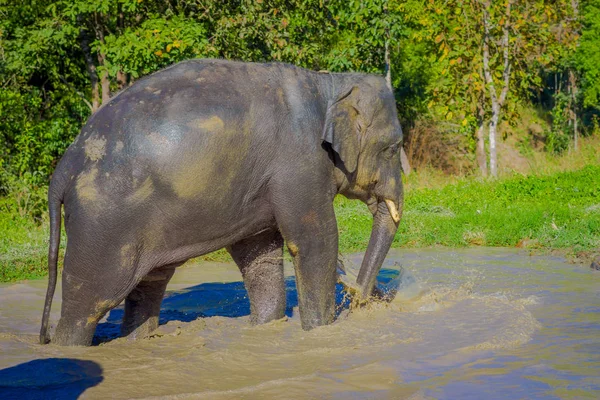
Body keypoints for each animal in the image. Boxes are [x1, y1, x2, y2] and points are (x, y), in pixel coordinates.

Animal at [37, 57, 404, 346]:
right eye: (394, 147)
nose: (359, 298)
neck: (328, 83)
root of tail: (66, 164)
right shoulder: (299, 163)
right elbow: (315, 241)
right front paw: (320, 333)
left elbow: (259, 254)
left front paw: (266, 329)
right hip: (104, 223)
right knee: (90, 301)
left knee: (149, 285)